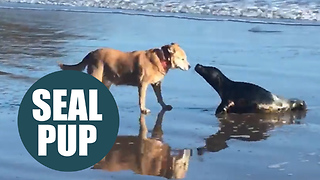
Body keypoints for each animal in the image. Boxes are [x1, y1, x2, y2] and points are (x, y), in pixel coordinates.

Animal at [58, 42, 190, 113]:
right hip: (97, 74)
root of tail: (91, 53)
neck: (161, 58)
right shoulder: (143, 84)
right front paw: (143, 109)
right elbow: (142, 99)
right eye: (182, 59)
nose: (189, 66)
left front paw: (164, 105)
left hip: (106, 80)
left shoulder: (156, 84)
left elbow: (160, 97)